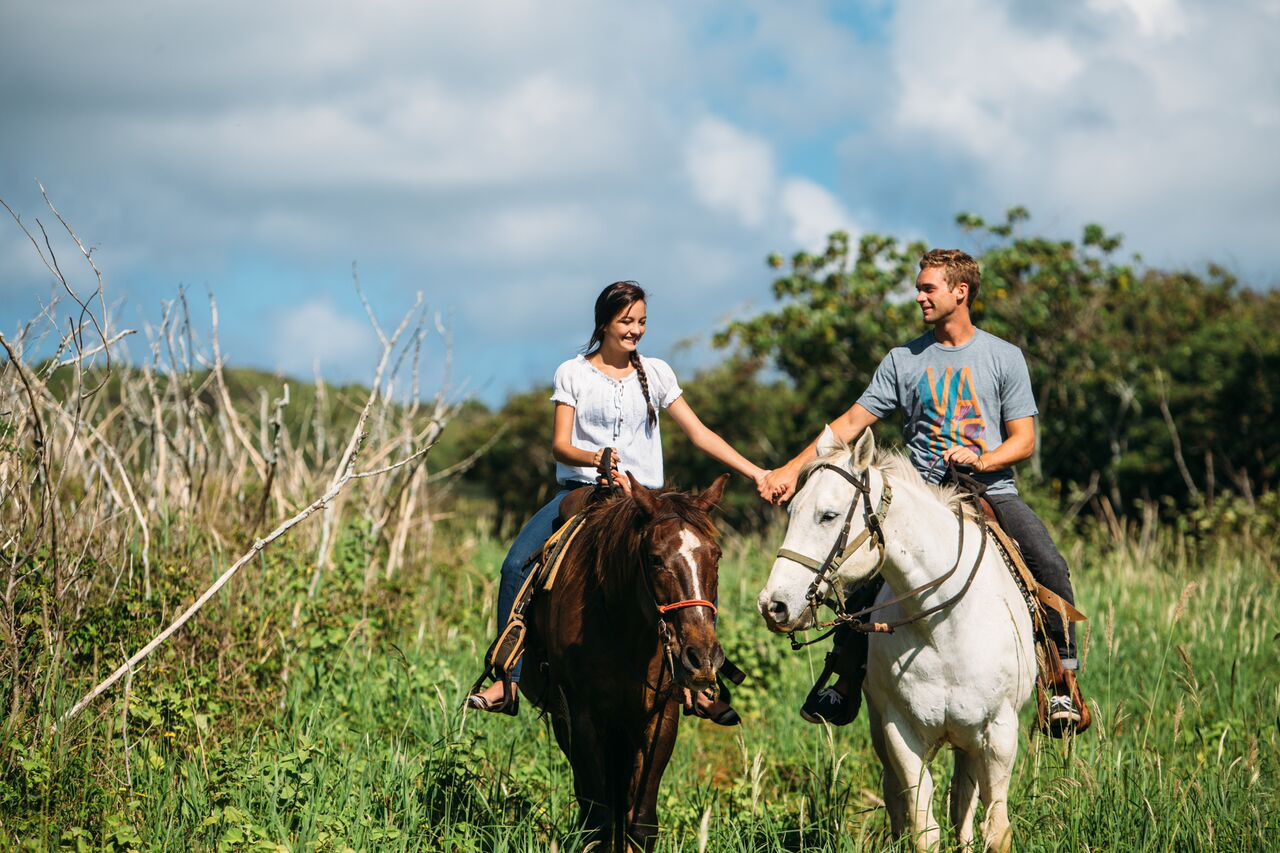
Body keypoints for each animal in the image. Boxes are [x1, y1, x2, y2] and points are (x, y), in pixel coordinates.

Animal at [514, 468, 727, 845]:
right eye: (655, 559)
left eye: (715, 556)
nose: (700, 659)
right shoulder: (581, 718)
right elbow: (597, 820)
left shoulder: (659, 718)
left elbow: (640, 822)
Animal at [752, 427, 1034, 845]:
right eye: (792, 512)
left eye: (828, 516)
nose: (773, 605)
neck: (942, 628)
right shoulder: (900, 733)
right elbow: (923, 828)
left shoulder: (999, 733)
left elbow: (995, 829)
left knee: (963, 805)